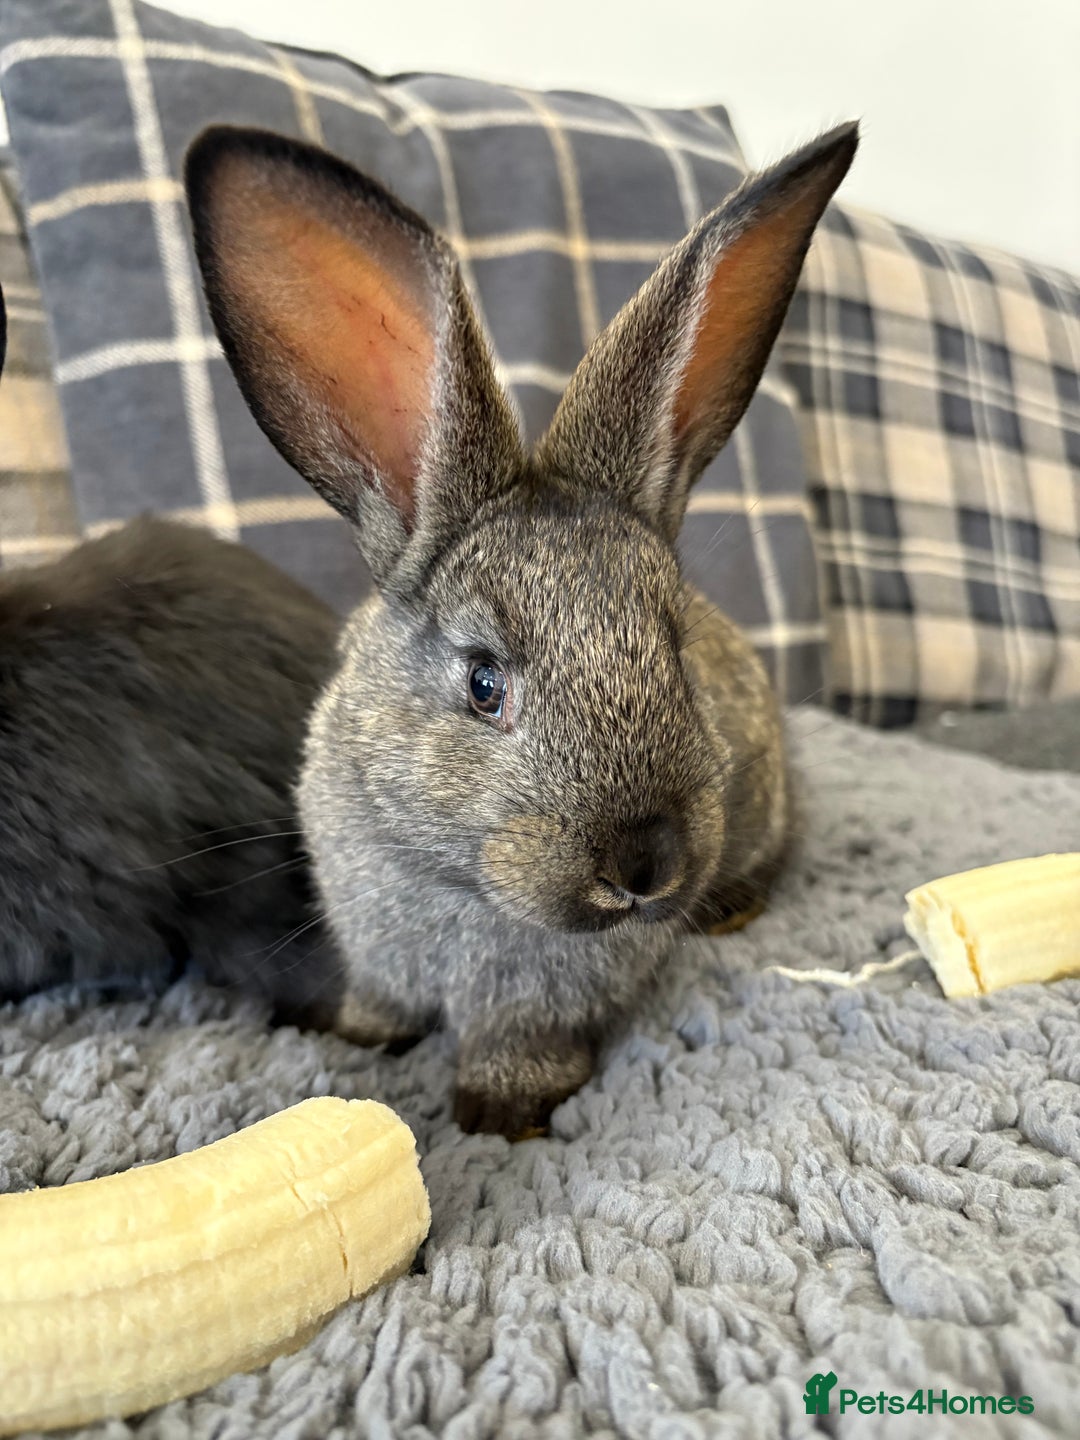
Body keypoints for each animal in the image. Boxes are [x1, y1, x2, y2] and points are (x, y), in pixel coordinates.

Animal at [185, 120, 858, 1136]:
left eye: (675, 654)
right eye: (484, 683)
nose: (646, 863)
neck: (461, 883)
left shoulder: (542, 1002)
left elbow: (520, 1046)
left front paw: (501, 1112)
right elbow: (381, 1006)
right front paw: (358, 1032)